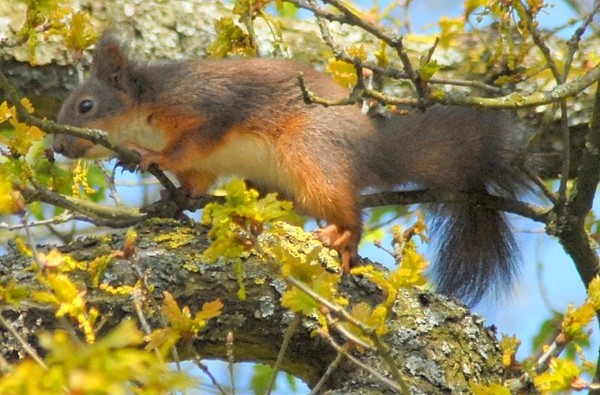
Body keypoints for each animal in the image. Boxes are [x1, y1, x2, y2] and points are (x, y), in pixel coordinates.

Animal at [51, 34, 528, 306]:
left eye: (86, 106)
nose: (56, 146)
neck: (146, 107)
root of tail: (373, 149)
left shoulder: (206, 110)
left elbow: (187, 145)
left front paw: (151, 158)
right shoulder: (204, 165)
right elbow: (196, 179)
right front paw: (172, 196)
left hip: (310, 154)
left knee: (348, 209)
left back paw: (343, 237)